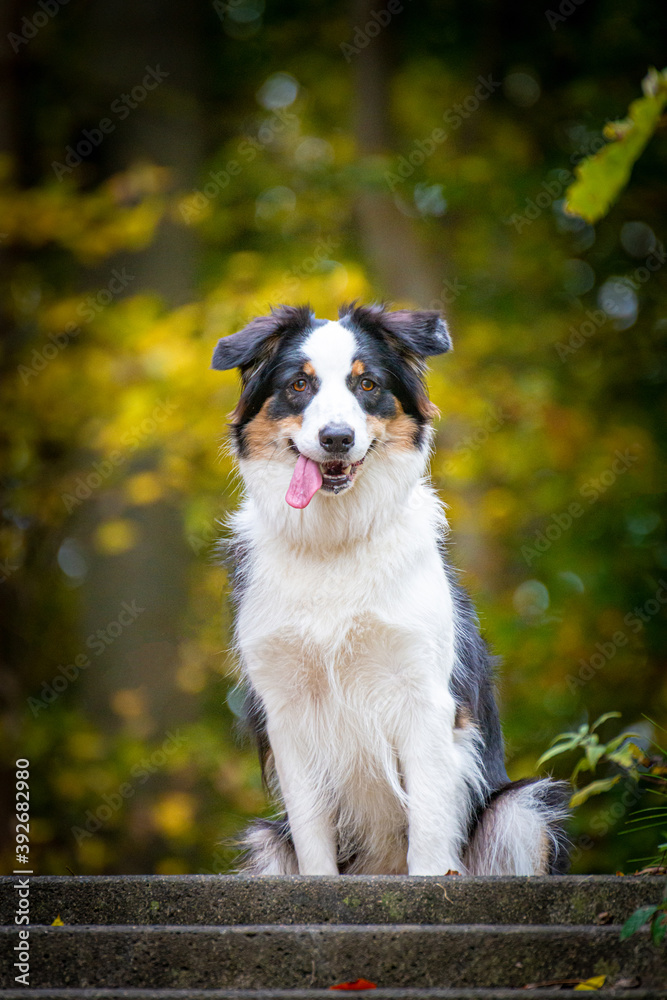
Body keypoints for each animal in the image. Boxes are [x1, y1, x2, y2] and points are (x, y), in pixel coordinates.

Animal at [213, 302, 568, 876]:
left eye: (367, 384)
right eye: (298, 385)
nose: (337, 438)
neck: (336, 541)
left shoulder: (425, 698)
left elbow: (427, 821)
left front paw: (427, 880)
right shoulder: (287, 709)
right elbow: (313, 835)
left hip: (523, 807)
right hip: (265, 840)